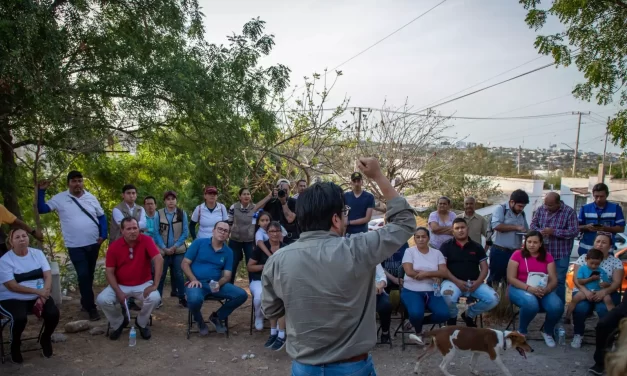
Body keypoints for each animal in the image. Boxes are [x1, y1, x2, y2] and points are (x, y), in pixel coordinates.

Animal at [408, 326, 536, 376]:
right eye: (523, 342)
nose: (533, 350)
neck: (502, 338)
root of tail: (438, 330)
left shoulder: (476, 353)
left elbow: (472, 364)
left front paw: (473, 372)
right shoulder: (495, 357)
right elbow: (505, 368)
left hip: (434, 349)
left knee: (419, 358)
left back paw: (415, 370)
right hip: (450, 352)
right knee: (442, 366)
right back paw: (449, 375)